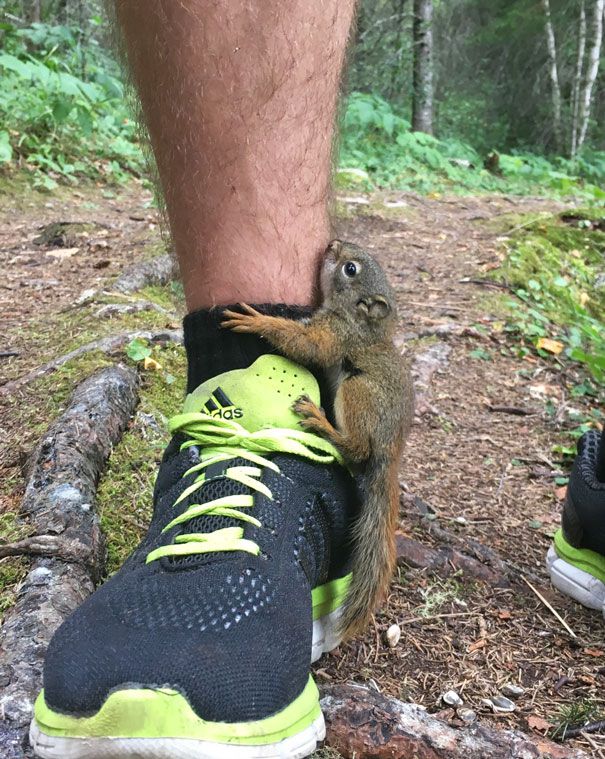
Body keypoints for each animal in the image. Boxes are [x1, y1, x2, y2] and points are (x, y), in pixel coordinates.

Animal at [222, 240, 416, 640]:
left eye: (350, 269)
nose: (333, 245)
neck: (358, 321)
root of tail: (391, 450)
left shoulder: (335, 335)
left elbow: (310, 346)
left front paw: (258, 322)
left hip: (358, 392)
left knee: (359, 450)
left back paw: (323, 424)